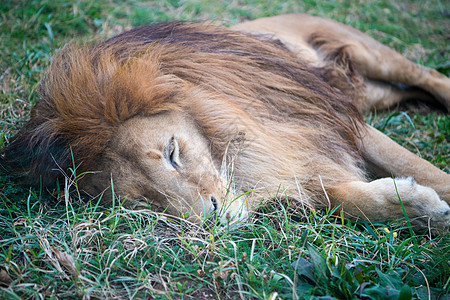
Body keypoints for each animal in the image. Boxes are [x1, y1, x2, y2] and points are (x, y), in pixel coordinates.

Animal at [0, 13, 450, 230]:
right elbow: (342, 198)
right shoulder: (303, 161)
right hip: (371, 92)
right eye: (145, 202)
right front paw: (418, 209)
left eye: (172, 153)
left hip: (366, 52)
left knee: (427, 75)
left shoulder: (329, 121)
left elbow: (420, 169)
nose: (212, 217)